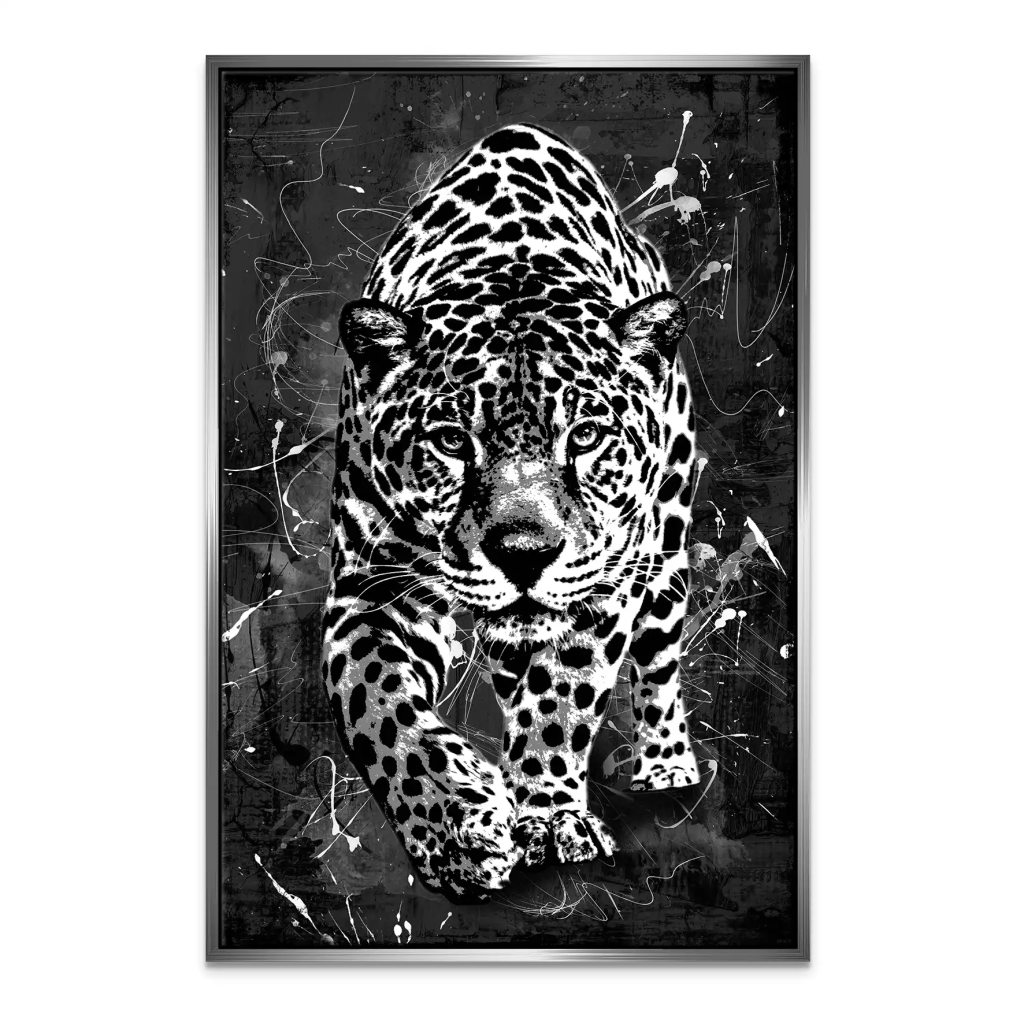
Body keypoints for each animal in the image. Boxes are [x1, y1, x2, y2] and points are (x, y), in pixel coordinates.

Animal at [320, 123, 701, 903]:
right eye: (450, 440)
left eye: (583, 436)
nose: (524, 553)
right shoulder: (371, 591)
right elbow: (376, 707)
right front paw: (456, 831)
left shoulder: (603, 588)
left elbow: (560, 699)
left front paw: (549, 817)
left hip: (667, 552)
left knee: (658, 663)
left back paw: (667, 765)